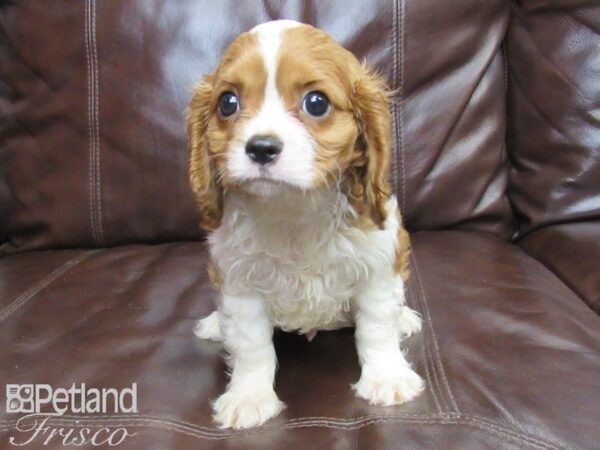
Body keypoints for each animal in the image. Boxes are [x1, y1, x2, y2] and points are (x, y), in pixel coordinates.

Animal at [186, 20, 422, 428]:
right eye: (227, 103)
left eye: (316, 103)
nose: (261, 147)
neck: (294, 208)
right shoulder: (239, 281)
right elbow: (252, 346)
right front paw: (249, 397)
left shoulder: (378, 263)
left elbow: (377, 327)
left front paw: (387, 378)